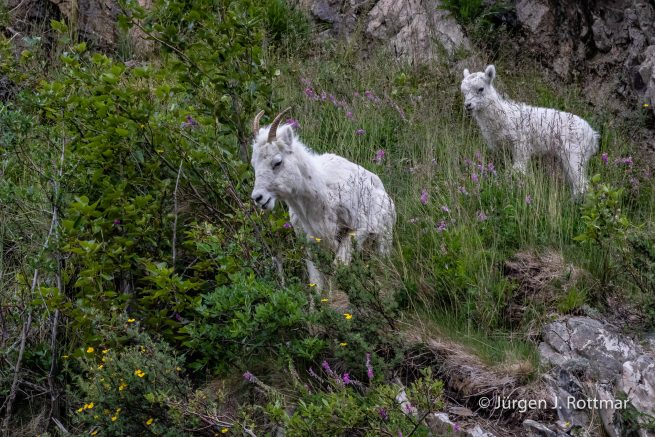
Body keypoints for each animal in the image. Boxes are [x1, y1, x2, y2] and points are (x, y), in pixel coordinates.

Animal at [250, 108, 396, 291]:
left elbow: (338, 267)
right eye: (254, 164)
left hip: (384, 239)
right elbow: (317, 285)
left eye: (277, 162)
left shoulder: (357, 230)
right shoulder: (311, 244)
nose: (258, 198)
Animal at [461, 65, 599, 198]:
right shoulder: (501, 149)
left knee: (581, 182)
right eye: (464, 92)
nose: (468, 105)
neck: (504, 116)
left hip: (575, 152)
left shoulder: (520, 144)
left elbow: (518, 169)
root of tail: (593, 135)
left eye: (481, 89)